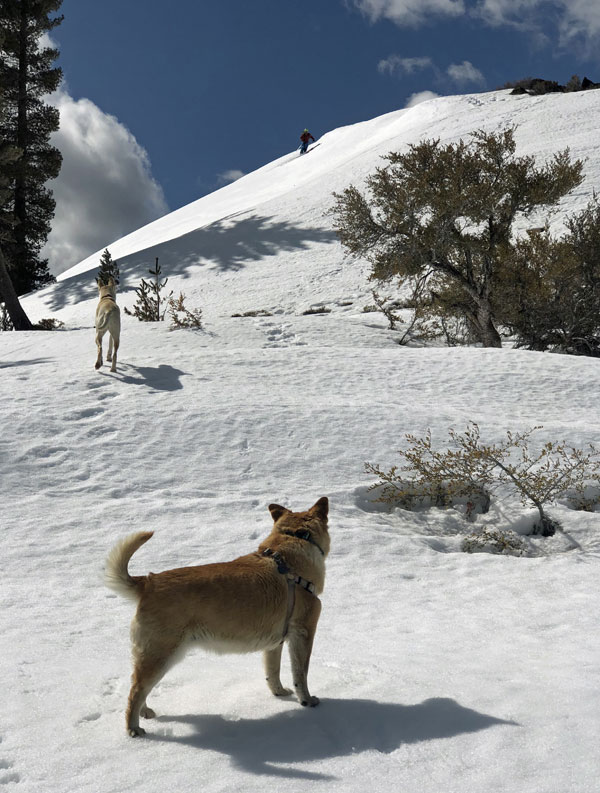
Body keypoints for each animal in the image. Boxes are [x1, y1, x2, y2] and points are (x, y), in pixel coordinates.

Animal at [103, 496, 328, 736]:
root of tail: (148, 582)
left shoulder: (275, 643)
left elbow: (272, 672)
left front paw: (279, 693)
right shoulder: (304, 633)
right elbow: (301, 675)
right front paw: (307, 701)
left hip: (151, 657)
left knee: (138, 686)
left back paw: (145, 712)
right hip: (161, 655)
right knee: (135, 691)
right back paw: (133, 729)